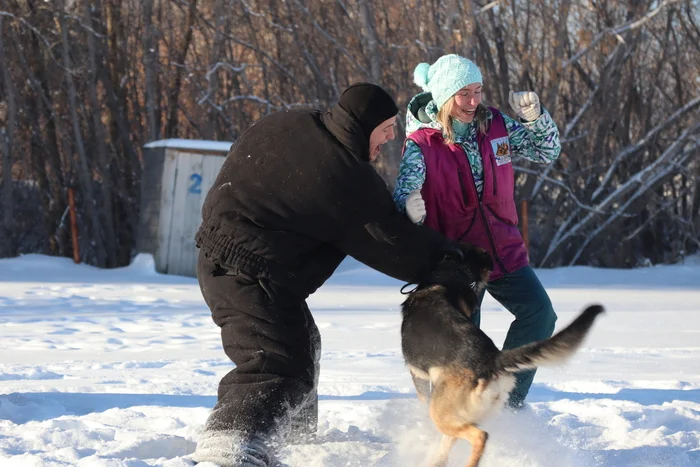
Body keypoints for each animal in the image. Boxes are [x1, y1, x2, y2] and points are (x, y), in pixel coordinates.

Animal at [402, 247, 604, 466]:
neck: (448, 276)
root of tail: (491, 359)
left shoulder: (418, 376)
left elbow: (422, 395)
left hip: (441, 412)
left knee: (480, 436)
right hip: (462, 413)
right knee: (454, 440)